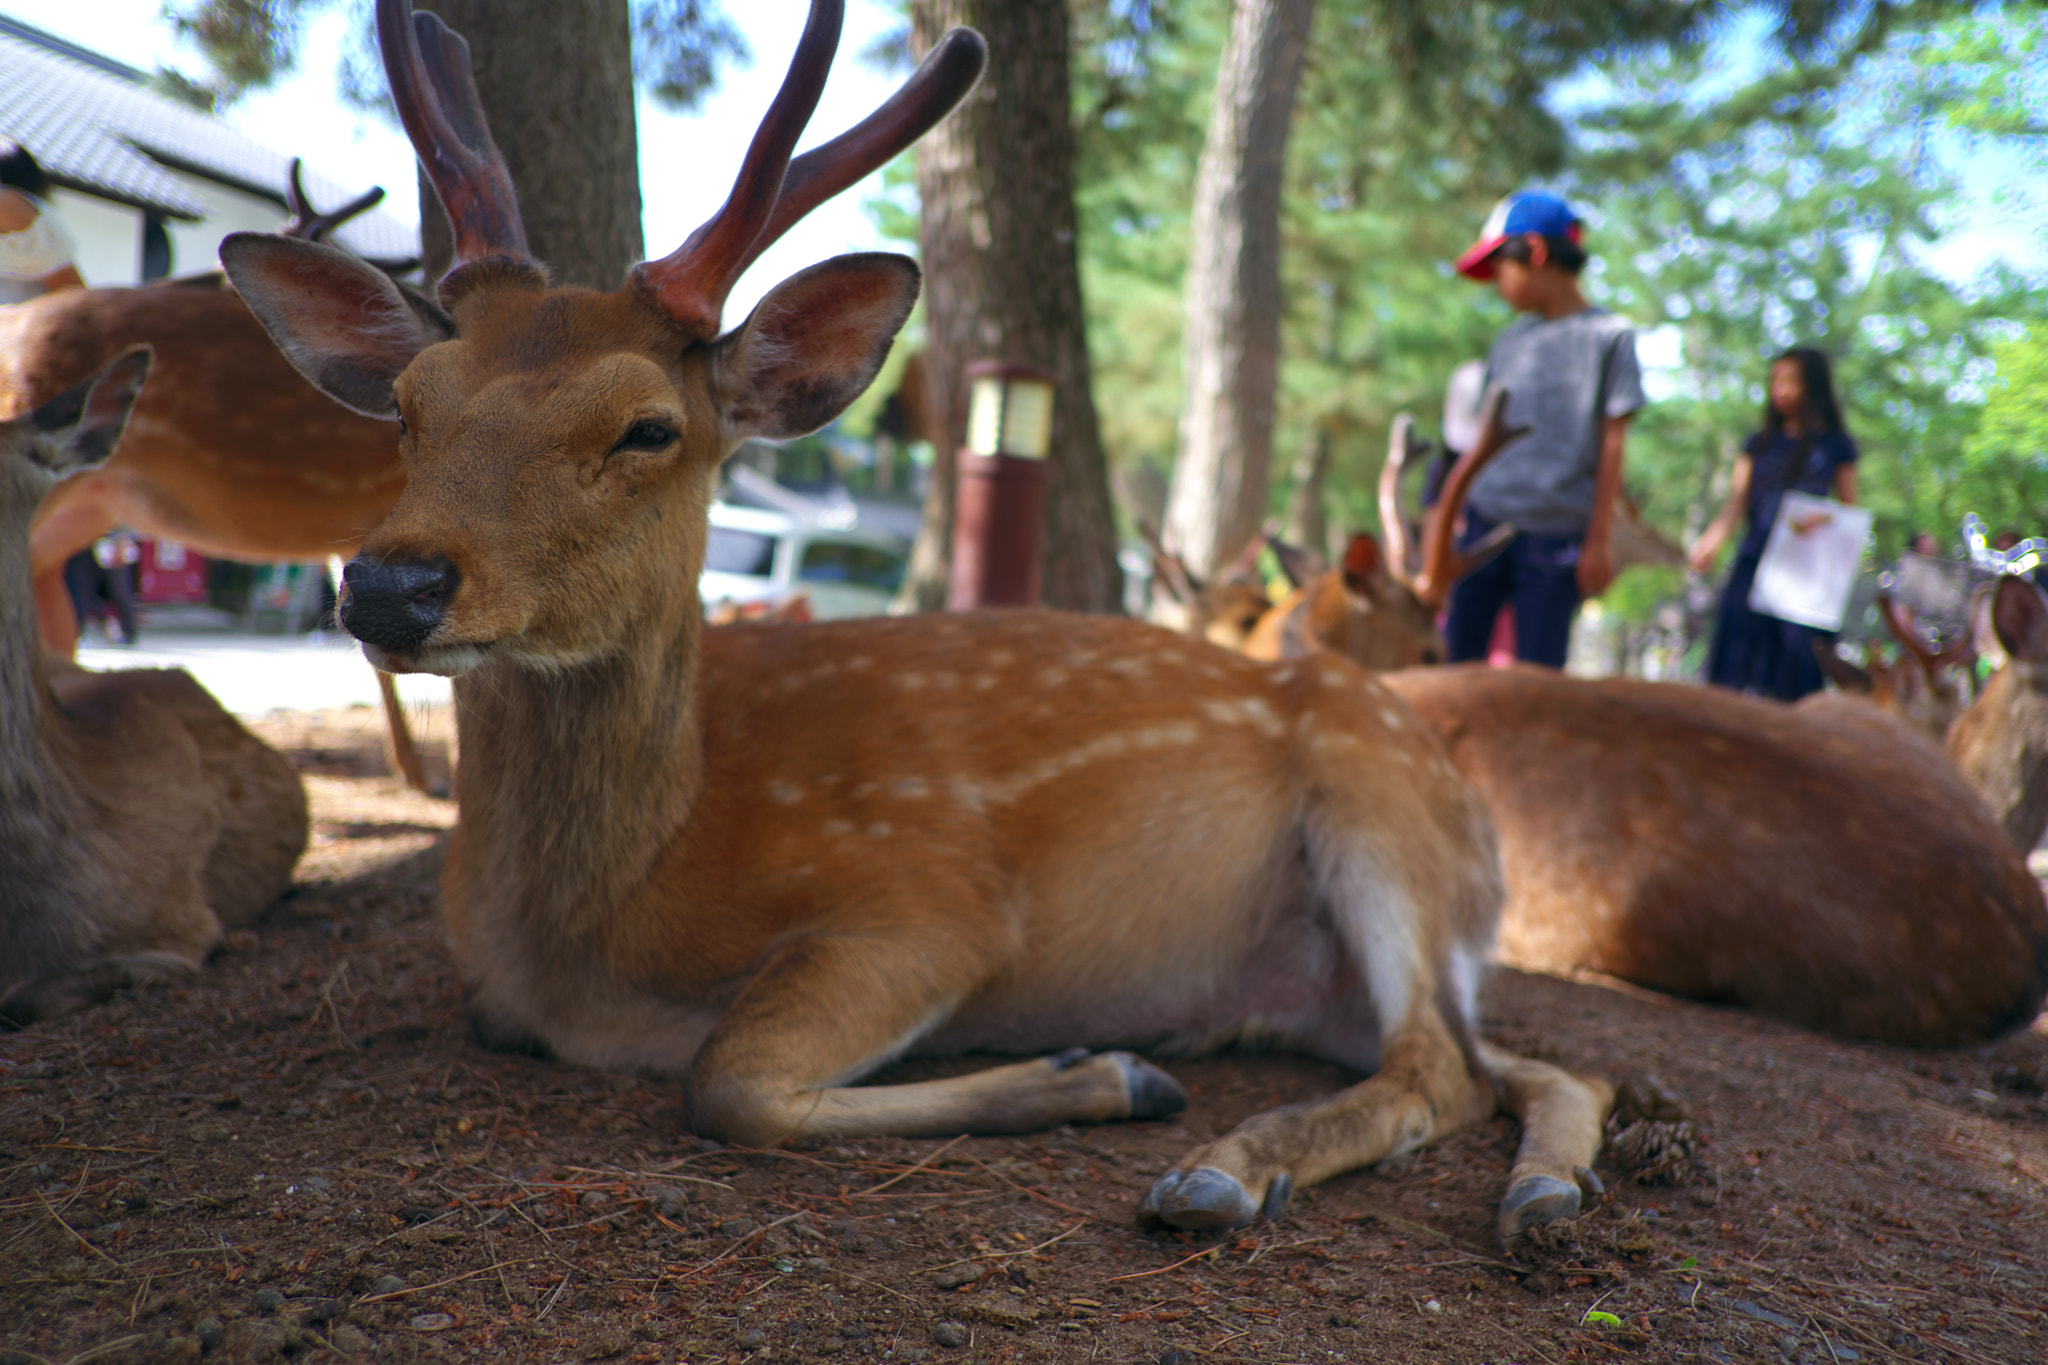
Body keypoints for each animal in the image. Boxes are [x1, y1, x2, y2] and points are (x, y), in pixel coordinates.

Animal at [216, 0, 1605, 1244]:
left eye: (646, 426)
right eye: (408, 402)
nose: (389, 584)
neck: (594, 923)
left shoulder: (930, 898)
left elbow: (727, 1081)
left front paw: (1100, 1072)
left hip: (1383, 800)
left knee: (1440, 1067)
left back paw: (1217, 1170)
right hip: (1343, 965)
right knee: (1524, 1063)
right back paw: (1535, 1192)